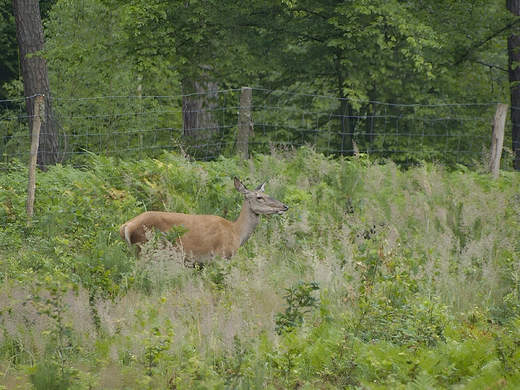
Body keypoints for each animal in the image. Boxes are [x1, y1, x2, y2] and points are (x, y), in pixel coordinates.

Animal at [119, 177, 288, 264]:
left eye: (267, 194)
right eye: (259, 197)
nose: (285, 206)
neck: (236, 232)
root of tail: (126, 226)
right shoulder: (222, 255)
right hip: (146, 248)